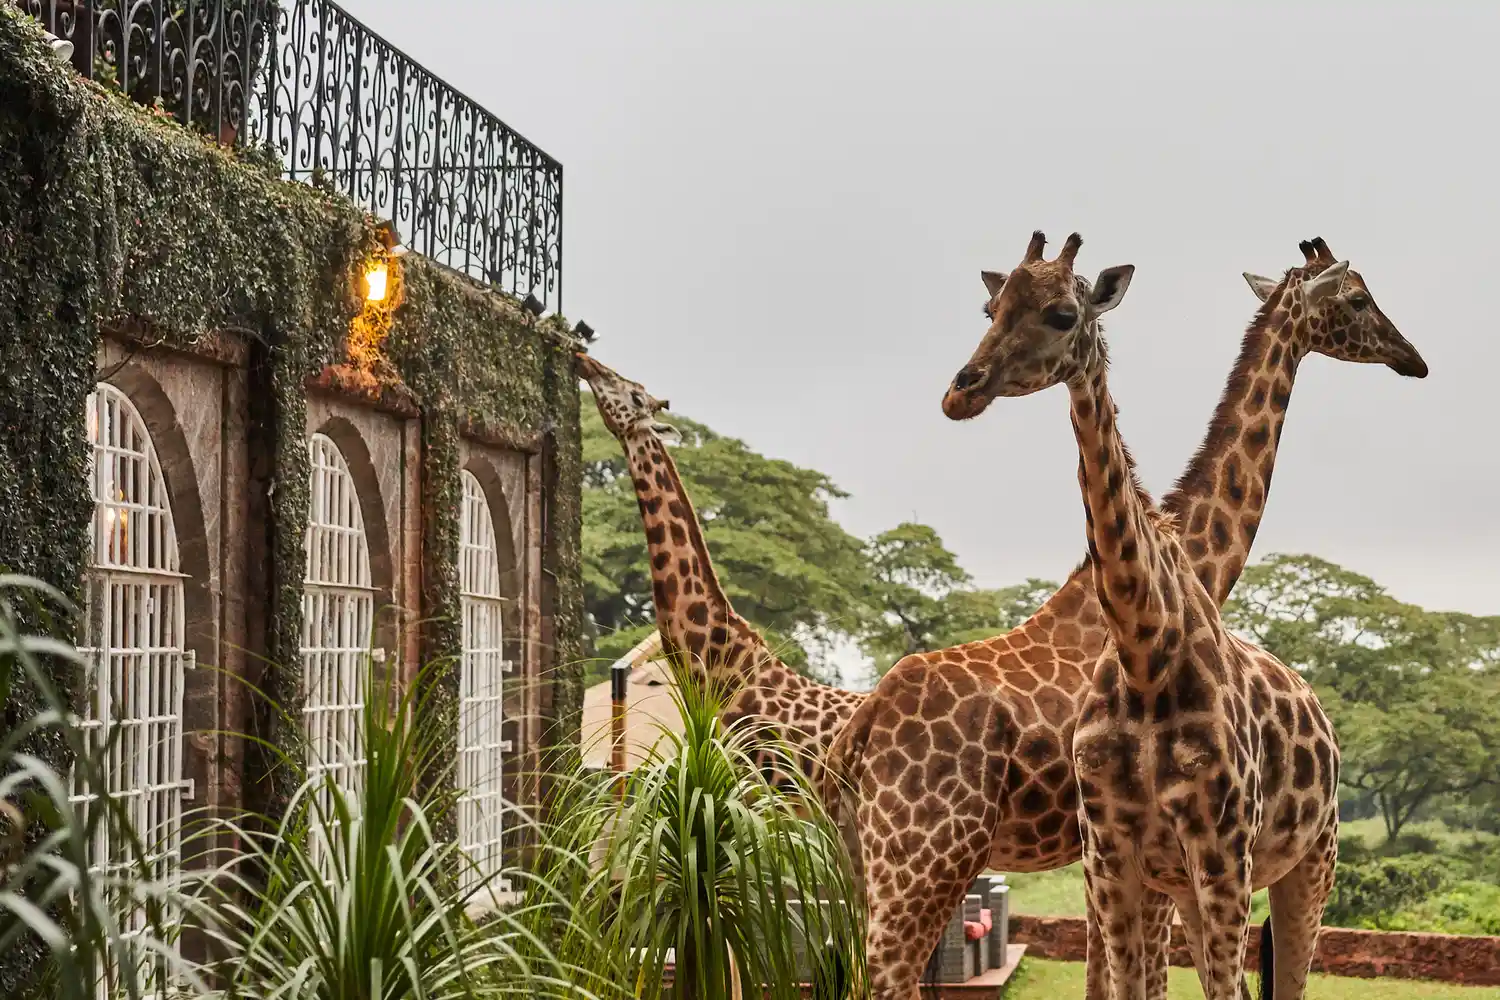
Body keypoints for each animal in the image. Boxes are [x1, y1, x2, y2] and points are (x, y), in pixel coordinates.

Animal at [823, 234, 1425, 1000]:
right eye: (1358, 299)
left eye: (1053, 312)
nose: (1412, 356)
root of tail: (860, 730)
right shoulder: (1117, 854)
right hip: (923, 856)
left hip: (861, 860)